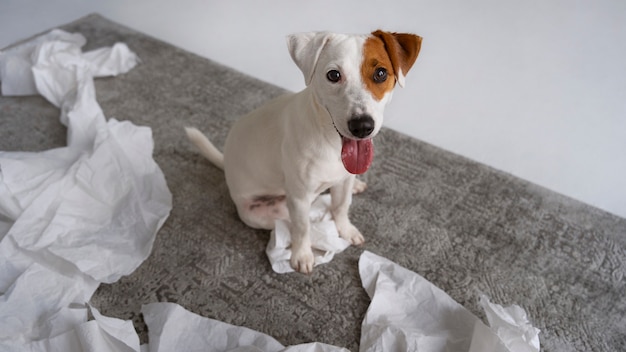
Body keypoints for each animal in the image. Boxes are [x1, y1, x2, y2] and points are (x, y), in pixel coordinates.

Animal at [184, 30, 420, 274]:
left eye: (381, 73)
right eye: (333, 75)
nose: (362, 126)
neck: (331, 142)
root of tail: (226, 163)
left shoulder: (343, 182)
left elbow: (341, 207)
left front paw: (346, 230)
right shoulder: (298, 198)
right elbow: (302, 228)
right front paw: (302, 255)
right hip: (259, 215)